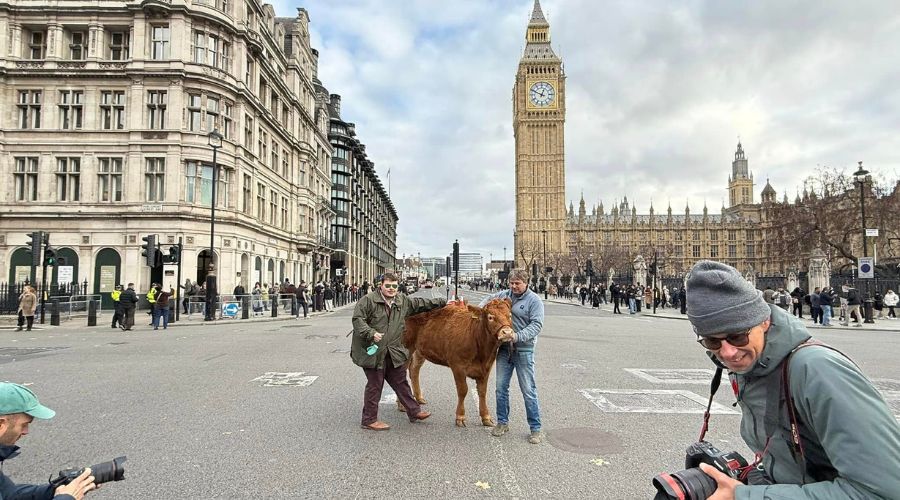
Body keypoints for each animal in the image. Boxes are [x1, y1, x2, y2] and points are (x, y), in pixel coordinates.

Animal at [402, 298, 513, 427]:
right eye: (491, 317)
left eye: (510, 315)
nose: (507, 332)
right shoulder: (458, 366)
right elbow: (463, 390)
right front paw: (460, 416)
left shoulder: (486, 368)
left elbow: (482, 392)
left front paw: (486, 417)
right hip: (406, 348)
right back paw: (402, 406)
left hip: (419, 351)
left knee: (414, 369)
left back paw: (419, 398)